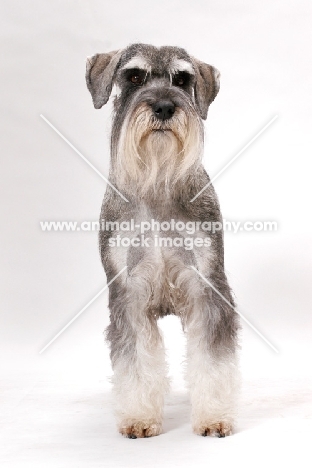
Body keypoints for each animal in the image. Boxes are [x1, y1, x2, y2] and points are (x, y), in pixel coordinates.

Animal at [85, 44, 239, 438]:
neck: (157, 182)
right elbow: (136, 361)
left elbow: (213, 360)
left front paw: (214, 417)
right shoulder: (128, 292)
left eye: (182, 80)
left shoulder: (207, 285)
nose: (165, 107)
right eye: (134, 76)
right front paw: (139, 418)